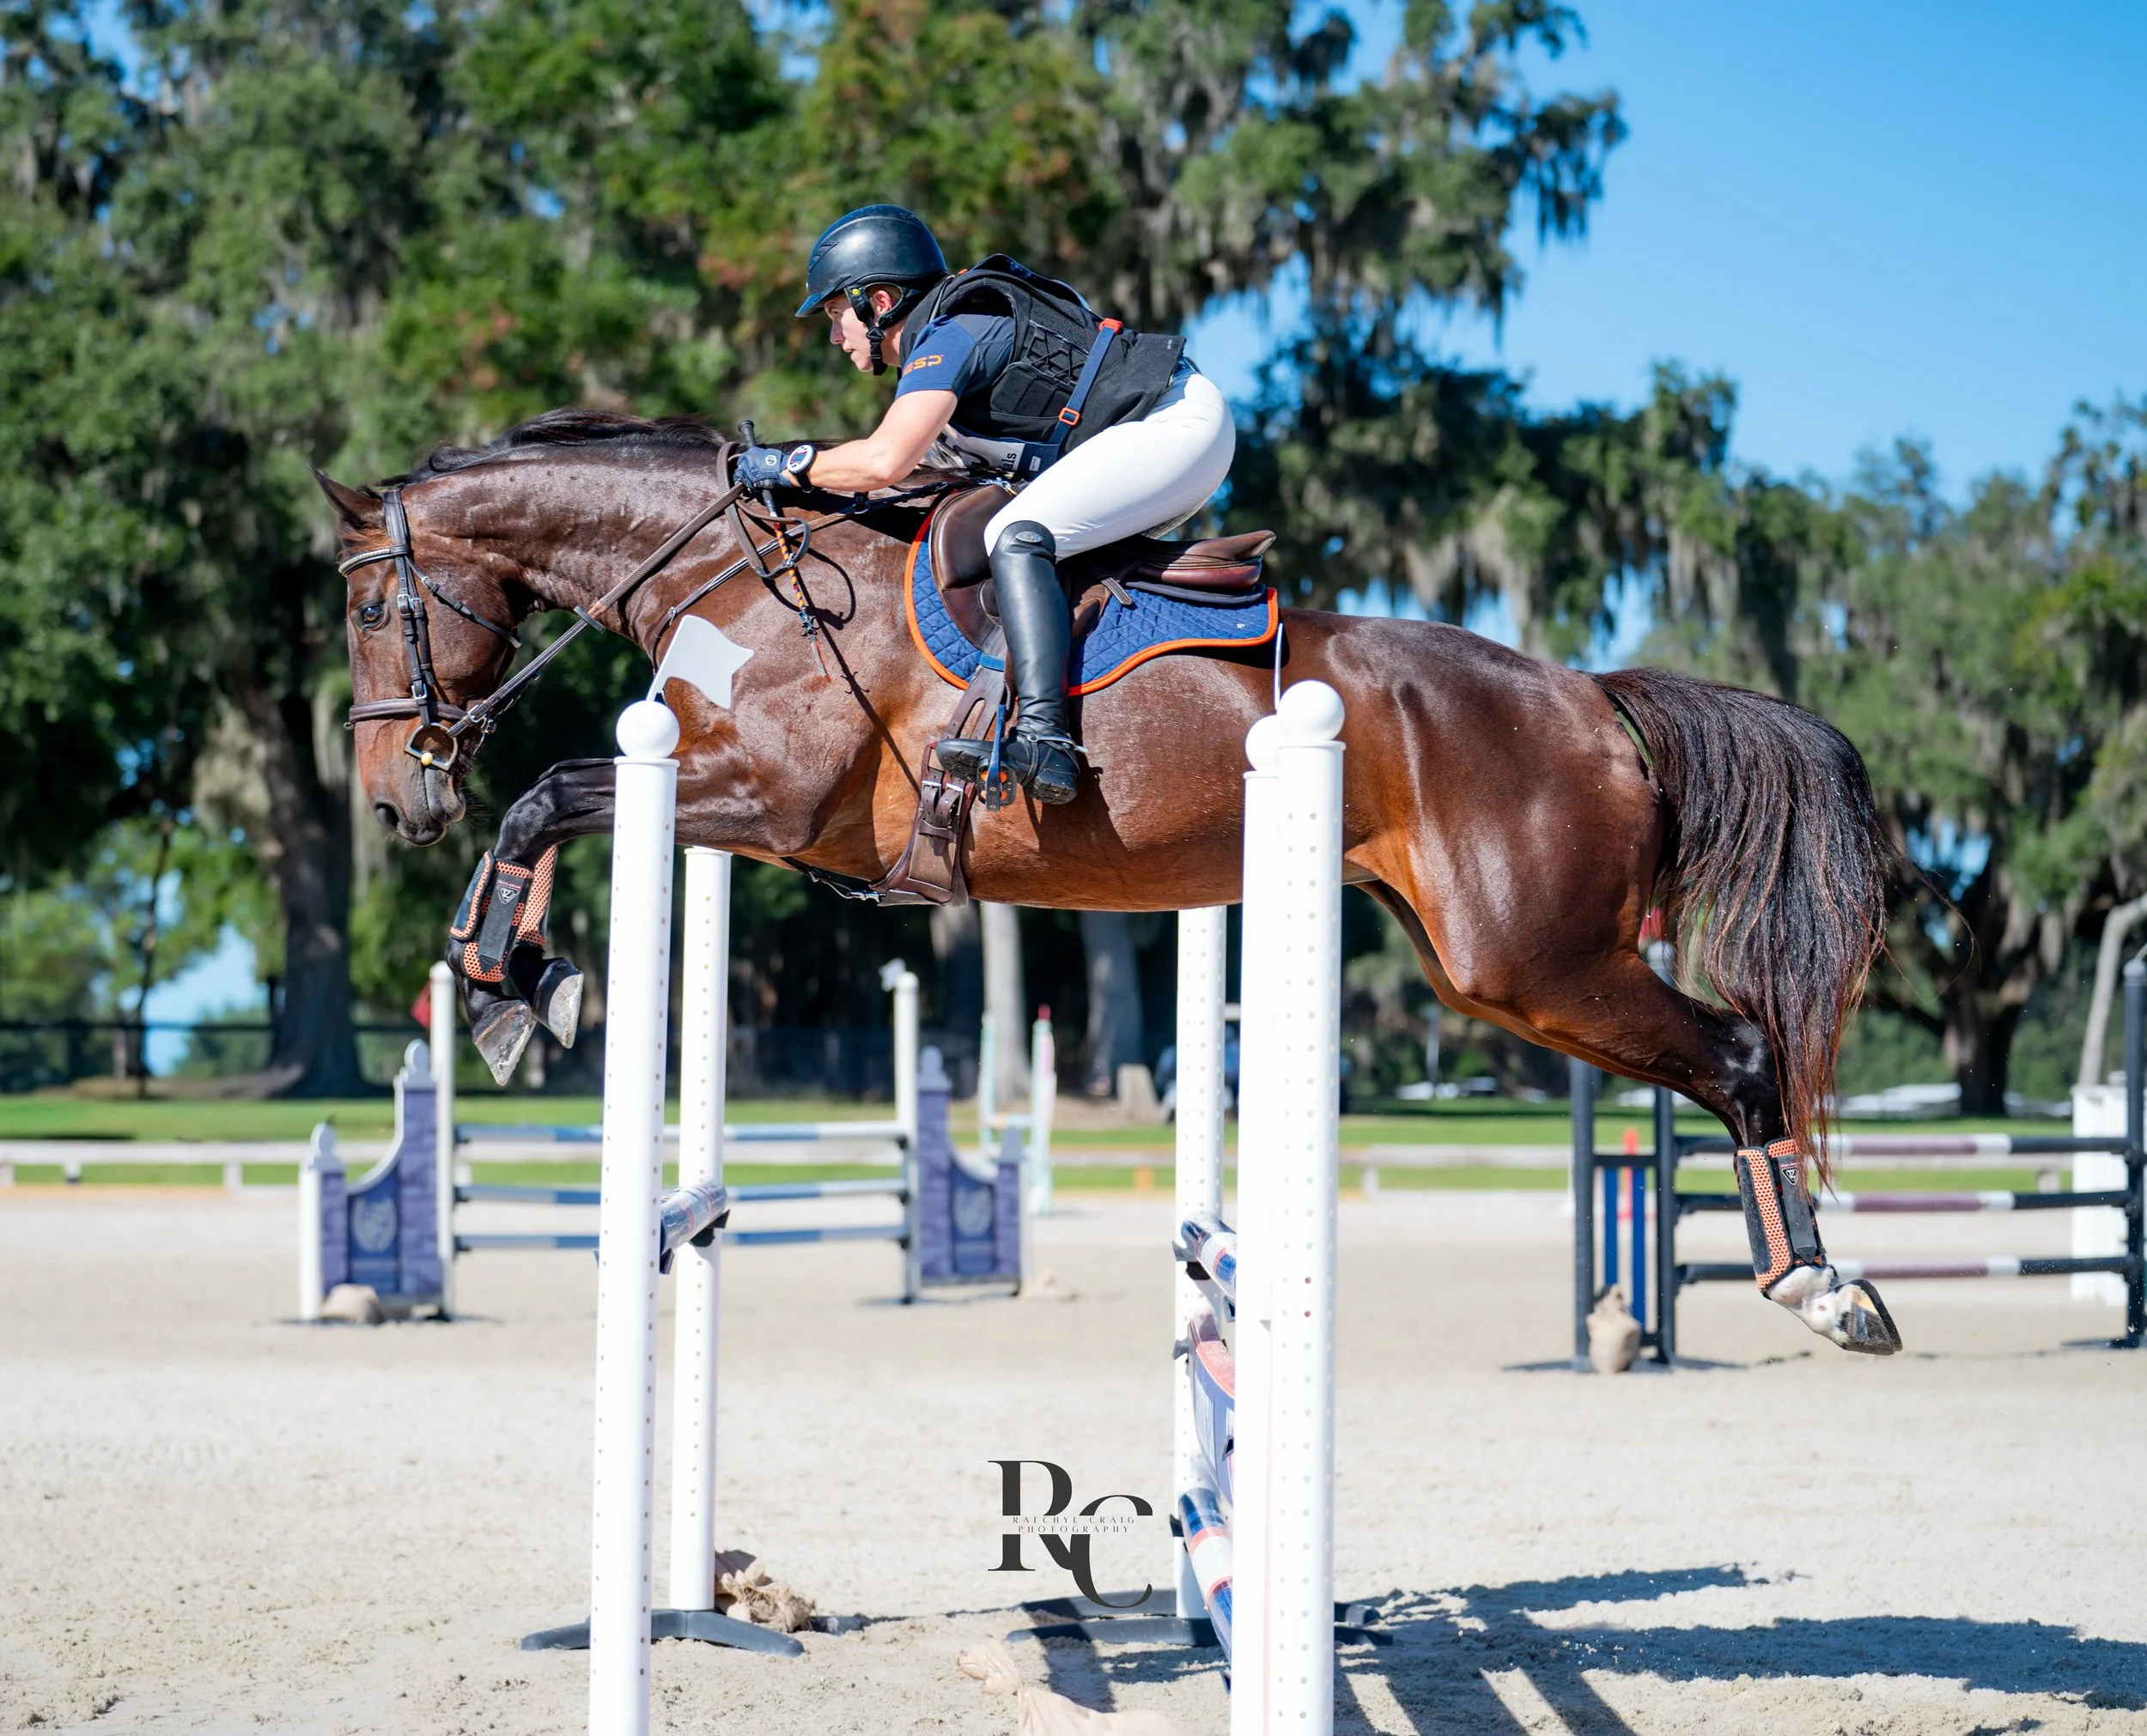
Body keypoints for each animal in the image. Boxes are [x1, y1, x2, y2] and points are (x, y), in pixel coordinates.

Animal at [318, 408, 1897, 1351]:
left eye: (373, 606)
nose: (396, 794)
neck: (742, 576)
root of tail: (1591, 697)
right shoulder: (728, 804)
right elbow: (549, 807)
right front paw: (520, 983)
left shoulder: (771, 801)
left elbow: (545, 794)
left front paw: (507, 983)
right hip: (1498, 971)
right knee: (1725, 1059)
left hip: (1537, 962)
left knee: (1742, 1055)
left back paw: (1826, 1285)